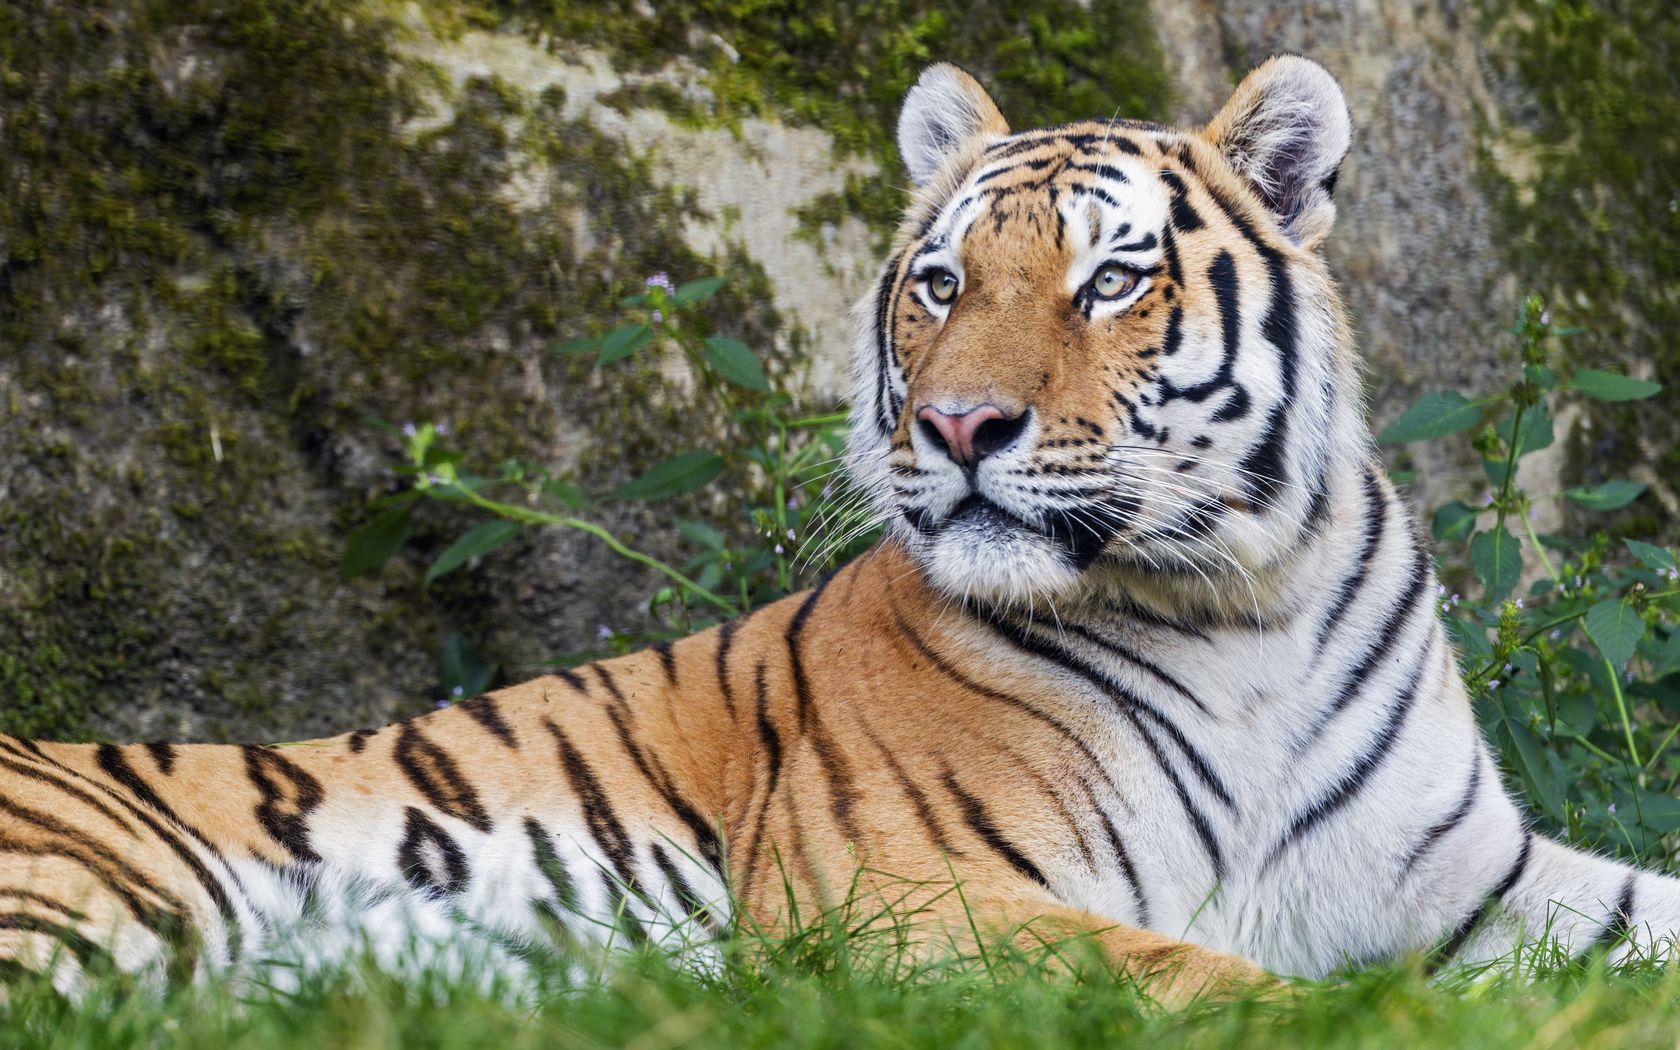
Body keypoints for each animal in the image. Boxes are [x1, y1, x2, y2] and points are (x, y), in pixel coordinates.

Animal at [3, 54, 1677, 1004]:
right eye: (941, 283)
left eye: (1109, 279)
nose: (959, 427)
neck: (1240, 599)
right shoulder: (916, 892)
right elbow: (1229, 984)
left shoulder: (1467, 873)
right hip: (97, 894)